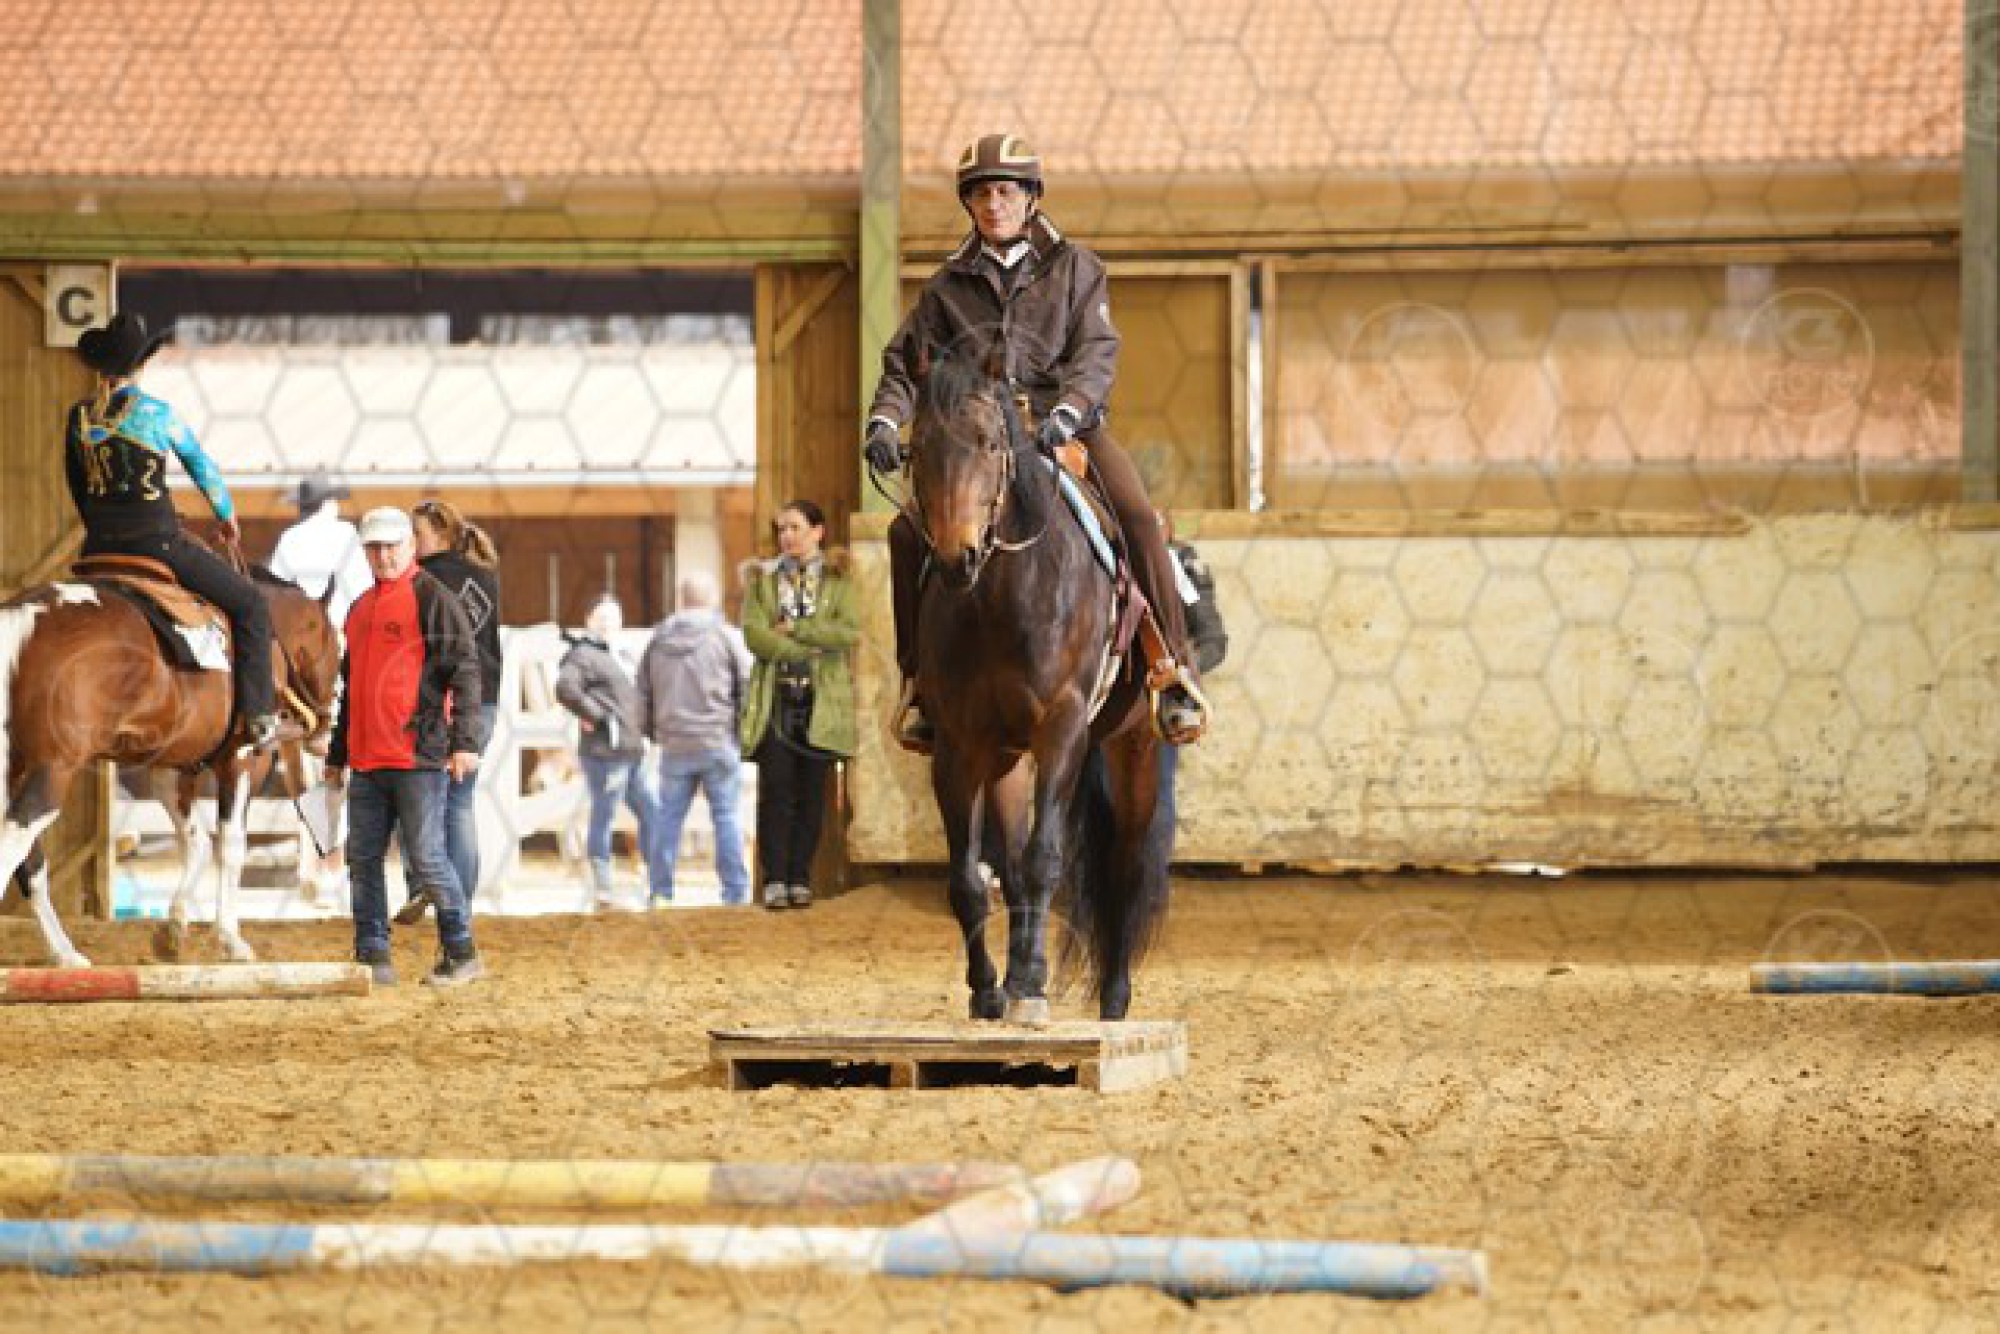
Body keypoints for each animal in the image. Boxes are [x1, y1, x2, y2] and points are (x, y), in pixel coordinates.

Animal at [0, 556, 342, 967]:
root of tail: (23, 619)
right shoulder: (243, 759)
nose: (325, 730)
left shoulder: (171, 769)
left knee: (30, 863)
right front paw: (230, 938)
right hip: (54, 768)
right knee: (15, 838)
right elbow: (230, 846)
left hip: (16, 770)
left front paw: (174, 928)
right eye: (338, 649)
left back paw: (65, 953)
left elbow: (195, 843)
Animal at [902, 352, 1174, 1023]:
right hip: (1005, 757)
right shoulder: (959, 747)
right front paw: (990, 989)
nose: (957, 557)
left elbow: (1046, 858)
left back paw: (1113, 997)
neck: (1002, 599)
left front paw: (1026, 983)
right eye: (915, 447)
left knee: (1124, 864)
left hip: (1131, 746)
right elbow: (970, 879)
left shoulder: (1062, 729)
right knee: (1013, 864)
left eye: (989, 442)